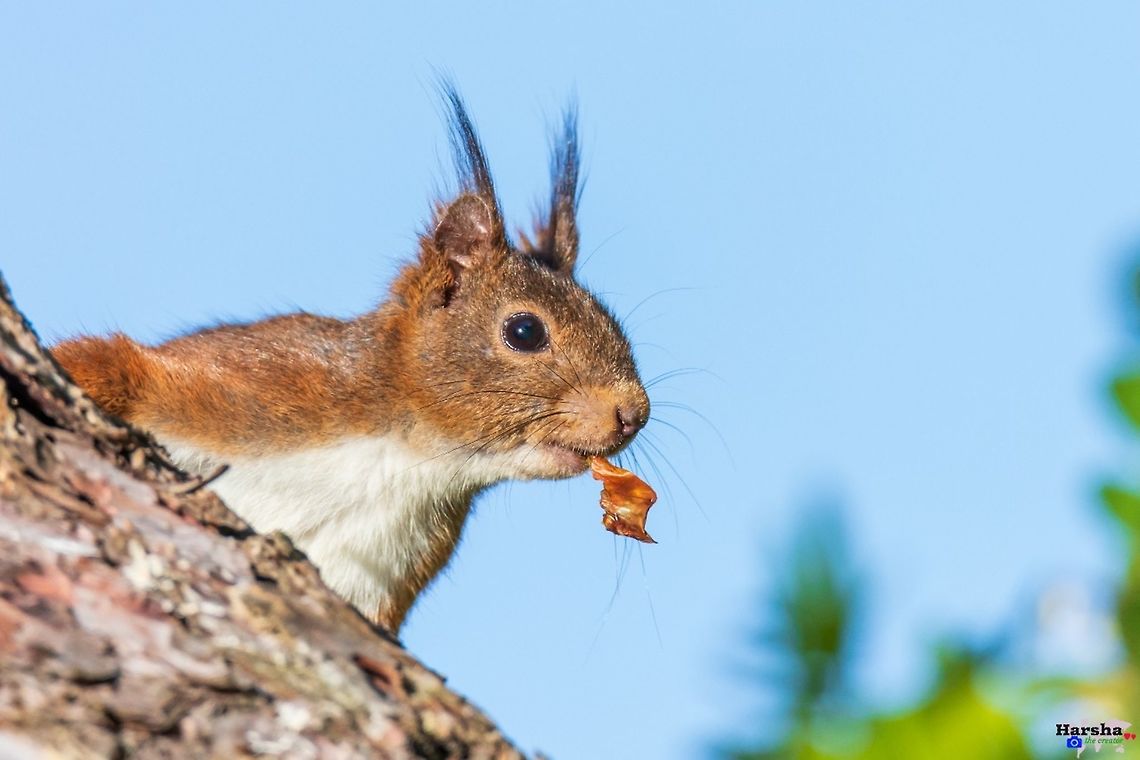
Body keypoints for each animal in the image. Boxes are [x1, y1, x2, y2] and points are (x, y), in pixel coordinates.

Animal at [51, 89, 651, 633]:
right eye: (525, 331)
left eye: (611, 317)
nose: (634, 414)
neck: (408, 459)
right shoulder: (249, 381)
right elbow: (105, 364)